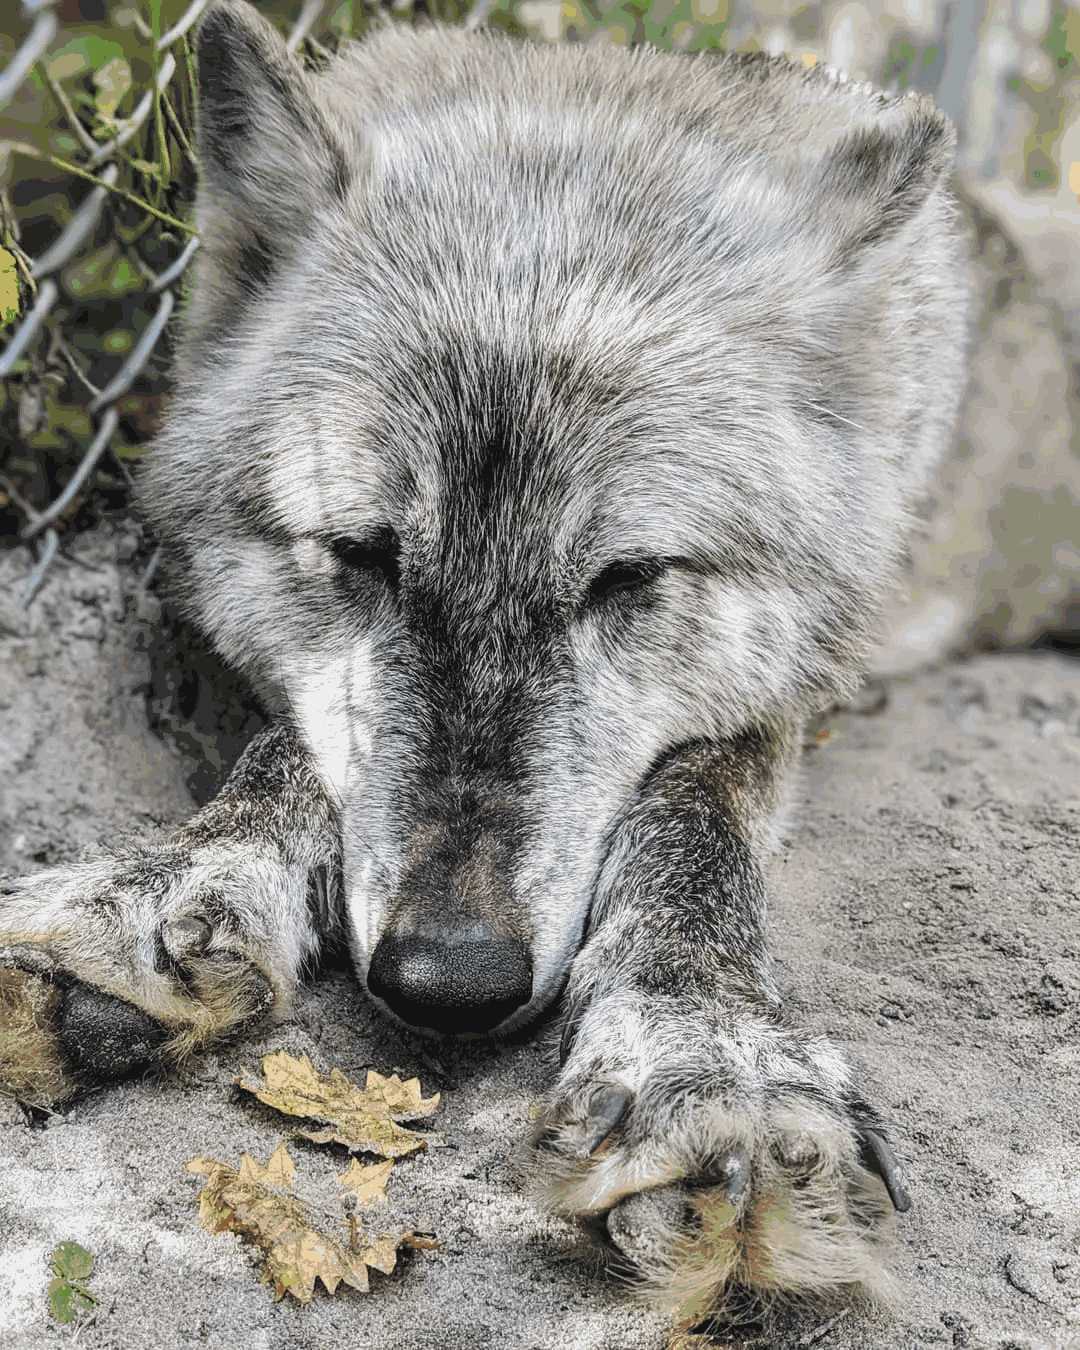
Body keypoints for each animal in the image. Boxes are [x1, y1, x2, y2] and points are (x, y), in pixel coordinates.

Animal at [4, 0, 1069, 1328]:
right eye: (359, 555)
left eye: (627, 578)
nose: (450, 981)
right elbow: (296, 745)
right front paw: (172, 883)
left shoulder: (793, 689)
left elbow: (694, 814)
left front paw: (703, 1046)